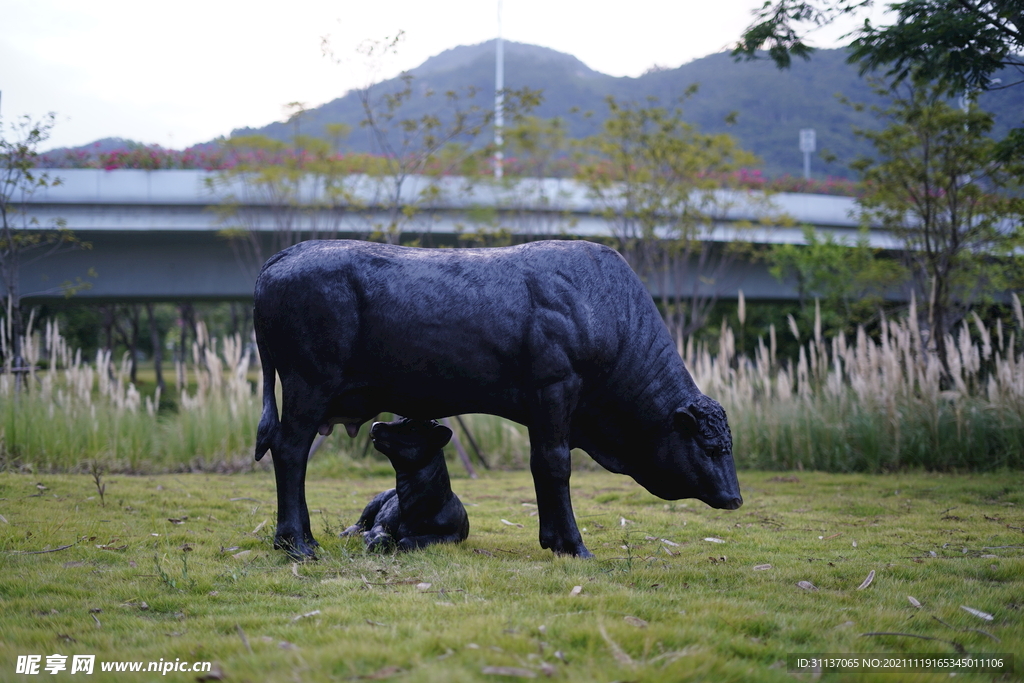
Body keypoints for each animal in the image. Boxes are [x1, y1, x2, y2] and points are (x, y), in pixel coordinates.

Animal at [344, 419, 471, 552]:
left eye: (413, 428)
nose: (375, 424)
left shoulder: (450, 536)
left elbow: (407, 541)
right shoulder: (381, 523)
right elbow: (382, 536)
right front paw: (370, 541)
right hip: (372, 504)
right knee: (359, 523)